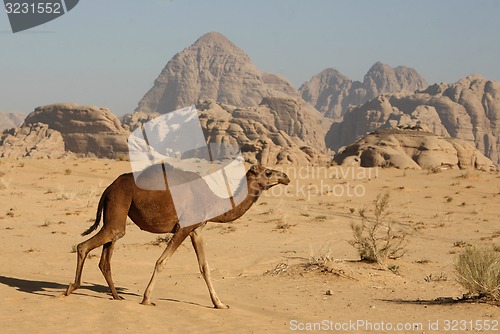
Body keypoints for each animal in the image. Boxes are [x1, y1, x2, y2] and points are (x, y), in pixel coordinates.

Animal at [64, 164, 290, 308]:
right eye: (268, 172)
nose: (286, 177)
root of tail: (108, 188)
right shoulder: (184, 227)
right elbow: (161, 262)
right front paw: (147, 299)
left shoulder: (197, 229)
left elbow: (205, 267)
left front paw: (220, 304)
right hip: (118, 203)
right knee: (85, 245)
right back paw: (71, 288)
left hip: (115, 212)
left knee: (106, 256)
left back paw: (116, 296)